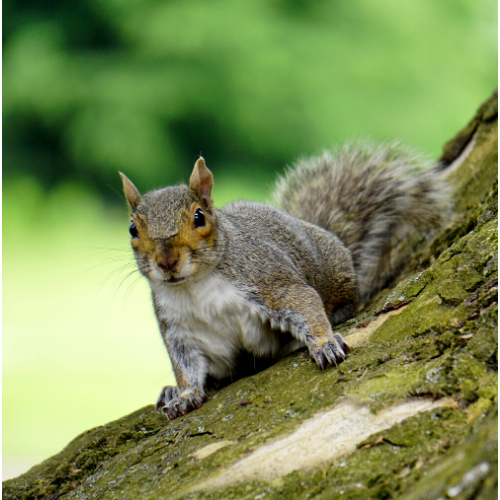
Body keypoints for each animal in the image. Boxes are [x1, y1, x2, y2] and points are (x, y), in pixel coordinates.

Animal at [120, 141, 450, 418]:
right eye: (133, 229)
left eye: (199, 217)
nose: (167, 261)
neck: (195, 286)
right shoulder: (179, 328)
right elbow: (185, 366)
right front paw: (185, 395)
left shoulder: (267, 279)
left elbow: (304, 302)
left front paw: (324, 344)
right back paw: (169, 391)